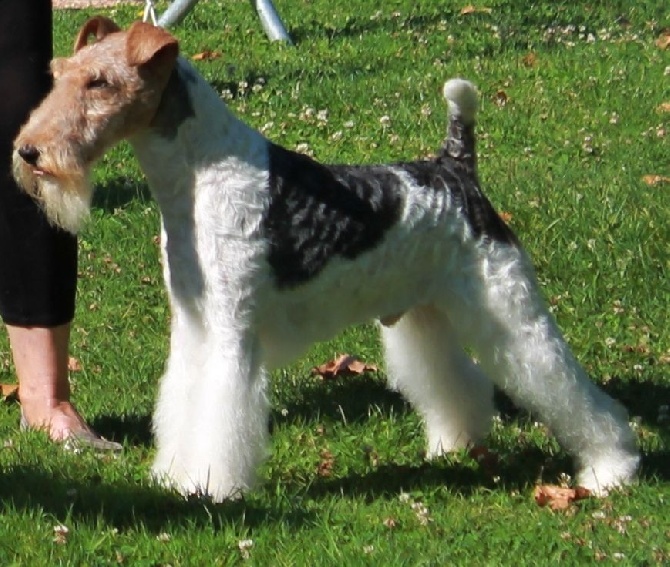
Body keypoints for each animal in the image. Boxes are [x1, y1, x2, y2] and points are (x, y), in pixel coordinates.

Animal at [11, 16, 640, 502]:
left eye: (100, 82)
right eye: (59, 75)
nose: (29, 151)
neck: (198, 178)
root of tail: (454, 167)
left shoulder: (231, 332)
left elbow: (218, 413)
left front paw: (211, 487)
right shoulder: (193, 326)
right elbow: (183, 405)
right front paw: (175, 477)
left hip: (508, 305)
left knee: (569, 388)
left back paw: (610, 468)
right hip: (424, 312)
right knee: (455, 381)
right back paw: (455, 443)